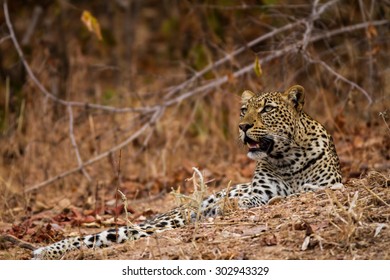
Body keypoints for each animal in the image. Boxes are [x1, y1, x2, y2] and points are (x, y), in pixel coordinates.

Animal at [32, 84, 342, 260]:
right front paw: (231, 206)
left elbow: (310, 191)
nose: (242, 126)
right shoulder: (257, 193)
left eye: (267, 109)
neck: (287, 159)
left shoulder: (328, 185)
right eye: (243, 110)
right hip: (167, 221)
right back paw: (44, 251)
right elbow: (249, 200)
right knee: (102, 236)